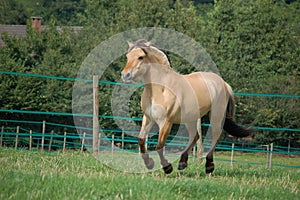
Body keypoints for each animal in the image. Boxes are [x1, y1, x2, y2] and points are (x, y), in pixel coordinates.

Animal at [120, 39, 252, 173]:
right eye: (127, 57)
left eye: (140, 57)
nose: (125, 75)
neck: (161, 89)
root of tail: (224, 84)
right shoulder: (148, 118)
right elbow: (141, 140)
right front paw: (149, 164)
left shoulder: (166, 122)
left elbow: (160, 145)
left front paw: (167, 168)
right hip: (190, 118)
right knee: (195, 136)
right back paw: (183, 163)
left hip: (216, 115)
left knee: (215, 136)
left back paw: (209, 166)